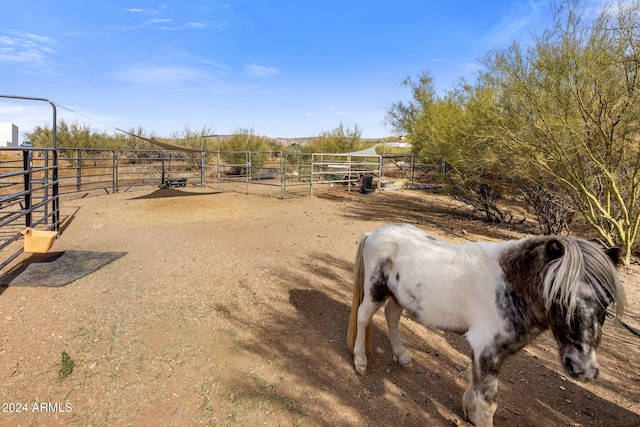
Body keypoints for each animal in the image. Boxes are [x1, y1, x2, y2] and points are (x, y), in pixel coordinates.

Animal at [344, 224, 624, 427]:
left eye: (607, 300)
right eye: (558, 296)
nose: (584, 368)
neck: (510, 284)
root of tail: (374, 233)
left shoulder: (484, 353)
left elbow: (475, 387)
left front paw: (469, 411)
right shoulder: (487, 350)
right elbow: (488, 403)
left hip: (399, 296)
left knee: (392, 316)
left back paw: (402, 357)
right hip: (376, 291)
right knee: (363, 317)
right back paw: (360, 361)